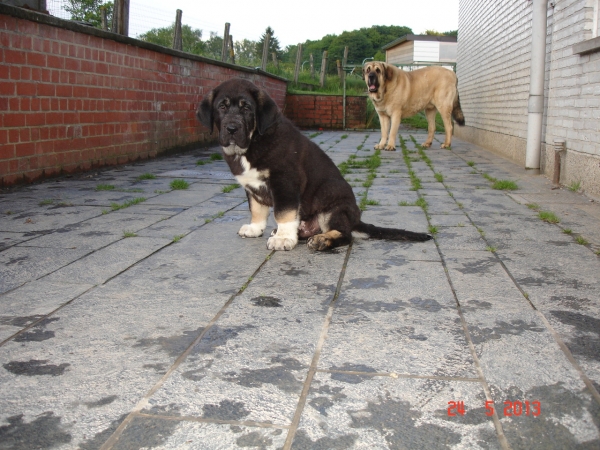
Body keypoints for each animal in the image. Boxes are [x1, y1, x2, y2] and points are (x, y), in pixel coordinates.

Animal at [197, 78, 432, 251]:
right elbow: (257, 209)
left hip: (333, 206)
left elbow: (283, 212)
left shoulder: (285, 181)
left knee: (346, 235)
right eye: (222, 107)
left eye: (246, 108)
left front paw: (283, 239)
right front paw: (256, 228)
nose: (232, 129)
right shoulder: (252, 186)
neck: (252, 142)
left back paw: (322, 240)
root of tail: (356, 219)